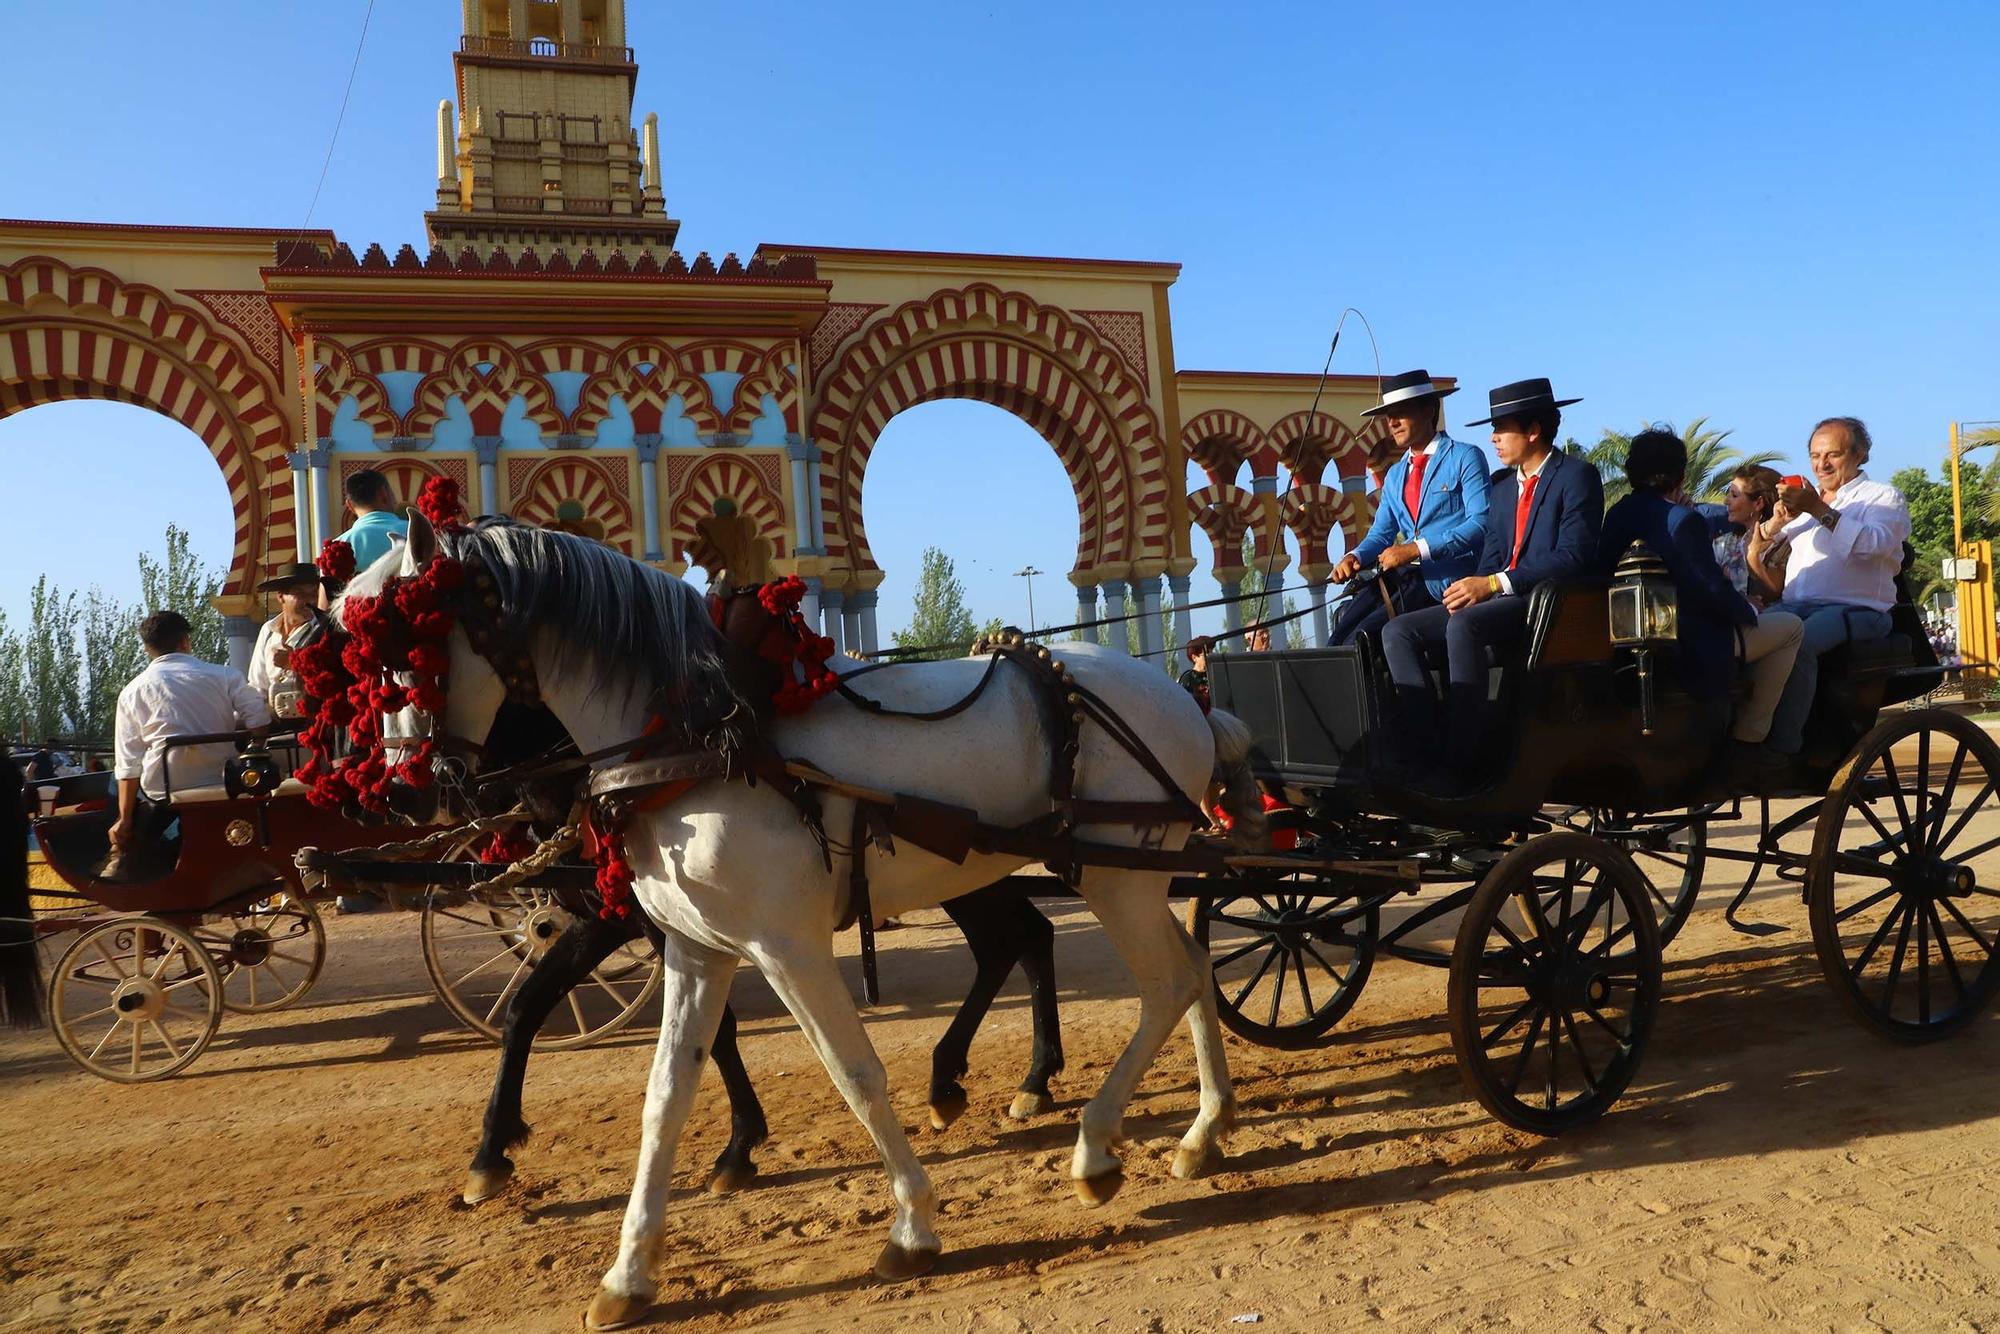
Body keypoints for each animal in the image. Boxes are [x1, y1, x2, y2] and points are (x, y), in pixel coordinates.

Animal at [334, 516, 1256, 1328]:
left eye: (404, 646)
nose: (404, 792)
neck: (701, 738)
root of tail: (1183, 696)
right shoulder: (696, 949)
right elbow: (665, 1097)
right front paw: (629, 1274)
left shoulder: (785, 946)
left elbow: (856, 1075)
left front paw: (913, 1226)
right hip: (1115, 876)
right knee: (1186, 967)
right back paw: (1203, 1131)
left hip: (1115, 872)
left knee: (1165, 981)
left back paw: (1096, 1147)